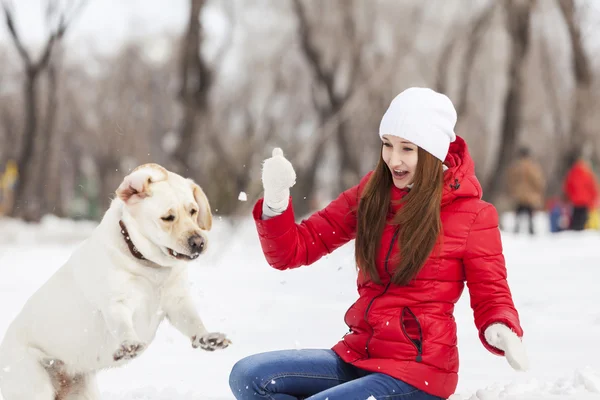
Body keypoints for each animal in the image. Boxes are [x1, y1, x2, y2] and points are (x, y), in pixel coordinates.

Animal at [0, 163, 231, 400]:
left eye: (193, 211)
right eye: (168, 217)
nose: (199, 242)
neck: (149, 267)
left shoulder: (177, 302)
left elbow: (193, 321)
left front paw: (207, 337)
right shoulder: (116, 303)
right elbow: (122, 325)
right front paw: (129, 344)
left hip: (83, 391)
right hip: (33, 382)